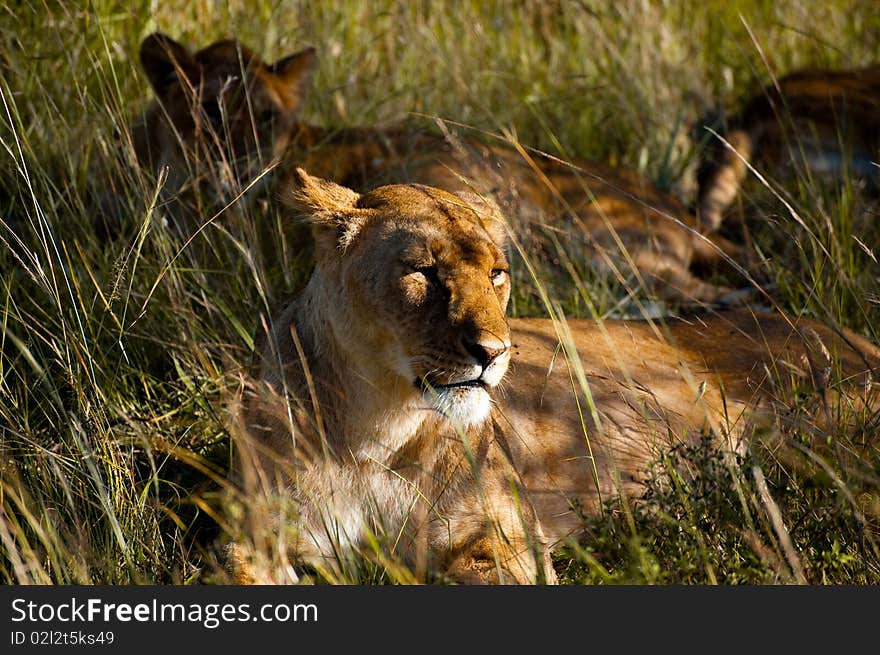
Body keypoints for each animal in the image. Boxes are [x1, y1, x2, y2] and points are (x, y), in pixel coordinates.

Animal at [229, 169, 880, 584]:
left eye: (496, 273)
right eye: (423, 272)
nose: (493, 352)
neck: (377, 430)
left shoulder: (507, 537)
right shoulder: (253, 533)